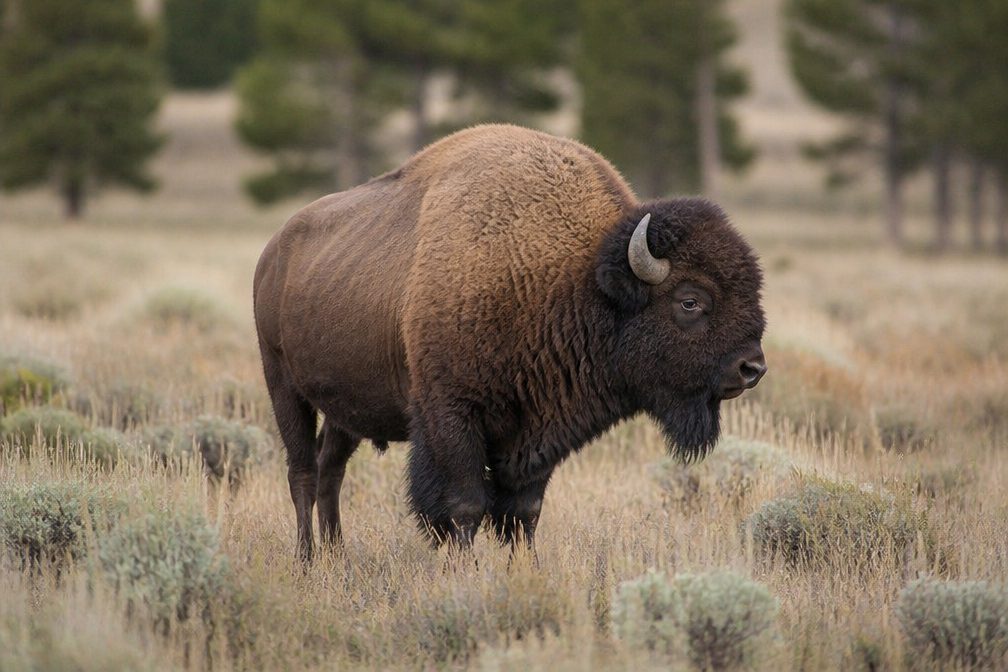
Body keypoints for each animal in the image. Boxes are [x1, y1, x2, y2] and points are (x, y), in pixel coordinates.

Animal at [254, 124, 767, 562]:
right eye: (690, 301)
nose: (752, 368)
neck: (574, 278)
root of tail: (273, 251)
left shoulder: (538, 433)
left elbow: (524, 513)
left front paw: (525, 570)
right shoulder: (452, 419)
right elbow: (464, 505)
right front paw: (464, 571)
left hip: (345, 410)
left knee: (330, 468)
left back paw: (337, 556)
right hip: (283, 386)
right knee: (302, 470)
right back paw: (306, 560)